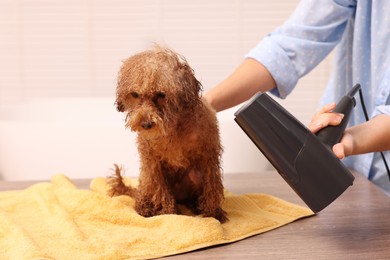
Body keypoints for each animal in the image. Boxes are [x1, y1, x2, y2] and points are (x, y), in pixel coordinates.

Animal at [108, 45, 227, 222]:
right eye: (135, 94)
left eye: (161, 94)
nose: (146, 124)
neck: (173, 128)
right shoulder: (152, 163)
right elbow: (161, 191)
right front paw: (169, 214)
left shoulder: (209, 157)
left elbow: (211, 187)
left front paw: (213, 214)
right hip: (146, 177)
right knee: (143, 193)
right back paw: (145, 208)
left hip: (194, 177)